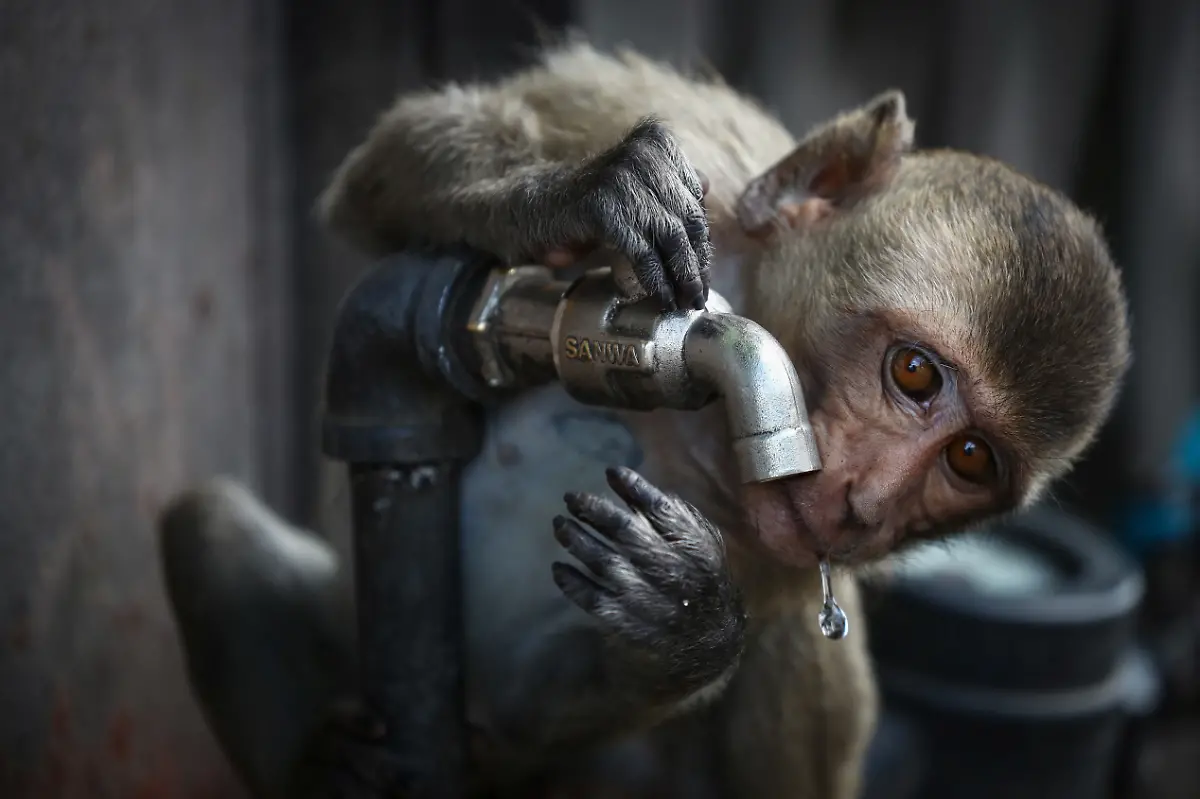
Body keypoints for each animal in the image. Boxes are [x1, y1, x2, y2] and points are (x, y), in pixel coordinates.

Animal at [158, 39, 1131, 799]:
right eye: (915, 373)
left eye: (969, 459)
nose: (868, 502)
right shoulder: (702, 148)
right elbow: (380, 172)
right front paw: (582, 193)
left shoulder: (780, 554)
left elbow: (530, 702)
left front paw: (687, 620)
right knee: (206, 524)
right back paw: (318, 767)